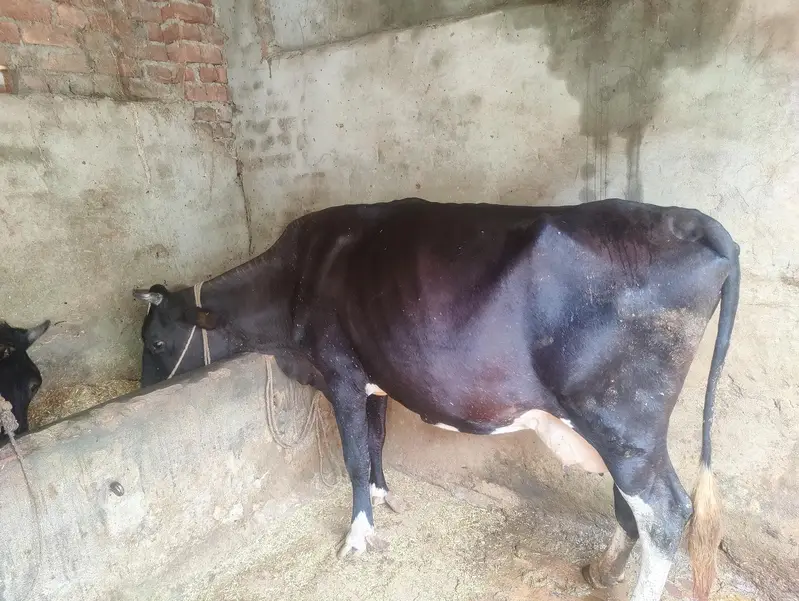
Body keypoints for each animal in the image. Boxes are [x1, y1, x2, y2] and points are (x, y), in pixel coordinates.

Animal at [134, 197, 739, 601]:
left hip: (622, 416)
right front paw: (384, 498)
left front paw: (357, 534)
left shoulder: (340, 373)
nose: (140, 391)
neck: (296, 280)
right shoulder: (373, 376)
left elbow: (354, 456)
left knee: (665, 510)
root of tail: (694, 221)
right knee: (637, 504)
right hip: (623, 426)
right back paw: (601, 570)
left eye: (156, 342)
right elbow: (376, 442)